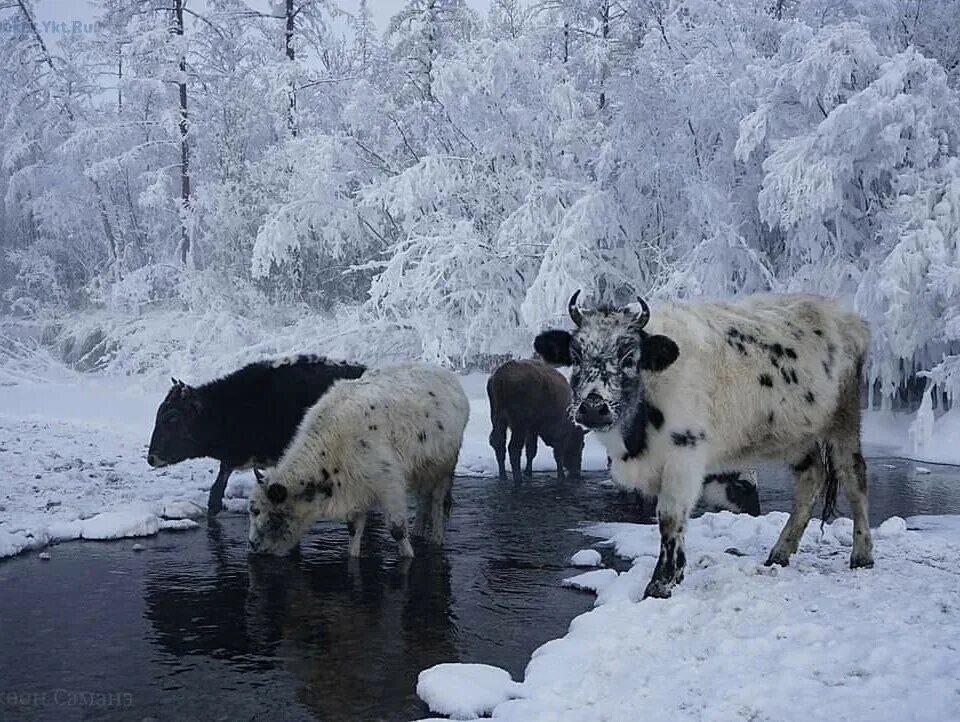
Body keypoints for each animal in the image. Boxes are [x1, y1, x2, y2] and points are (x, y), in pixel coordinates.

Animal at [536, 290, 872, 600]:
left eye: (629, 356)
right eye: (576, 355)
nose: (594, 407)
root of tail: (847, 317)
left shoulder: (684, 458)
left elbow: (669, 517)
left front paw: (661, 583)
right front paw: (674, 574)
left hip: (844, 419)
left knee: (853, 476)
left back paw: (862, 555)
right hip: (798, 435)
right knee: (810, 479)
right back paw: (780, 553)